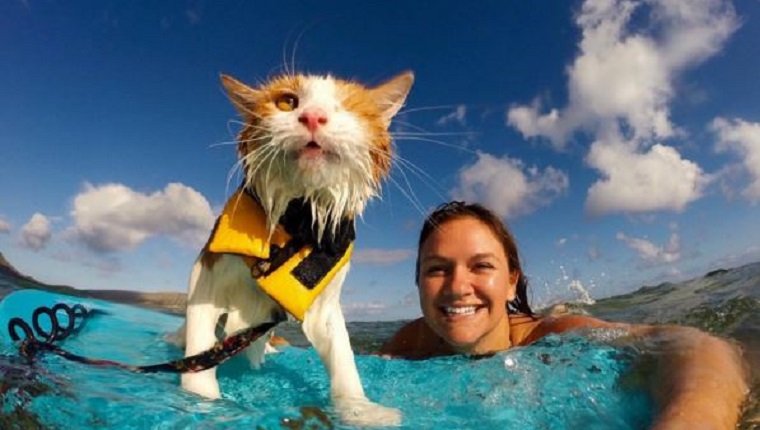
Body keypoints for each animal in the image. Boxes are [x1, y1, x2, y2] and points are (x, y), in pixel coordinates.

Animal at [177, 70, 412, 426]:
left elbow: (344, 359)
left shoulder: (324, 305)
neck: (298, 218)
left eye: (346, 106)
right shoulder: (206, 275)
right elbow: (198, 349)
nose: (313, 117)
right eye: (287, 101)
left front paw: (359, 409)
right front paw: (202, 402)